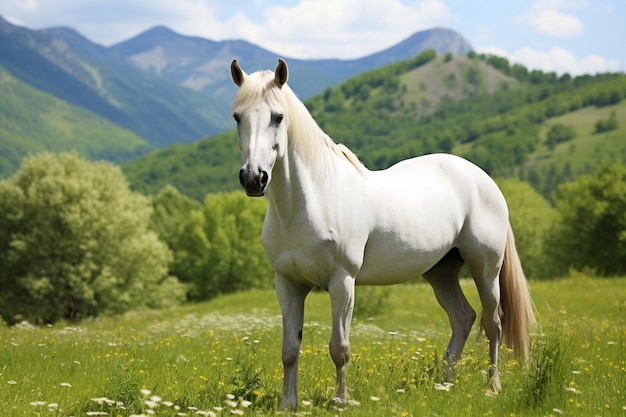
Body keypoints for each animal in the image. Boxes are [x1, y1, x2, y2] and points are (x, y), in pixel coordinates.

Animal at [232, 58, 532, 410]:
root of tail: (484, 179)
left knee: (493, 323)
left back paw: (492, 386)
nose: (254, 178)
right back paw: (445, 385)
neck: (310, 200)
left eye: (278, 117)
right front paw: (287, 405)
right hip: (441, 272)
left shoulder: (342, 282)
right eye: (237, 117)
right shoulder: (288, 285)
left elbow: (339, 348)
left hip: (486, 269)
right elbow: (290, 349)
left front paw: (341, 402)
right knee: (462, 318)